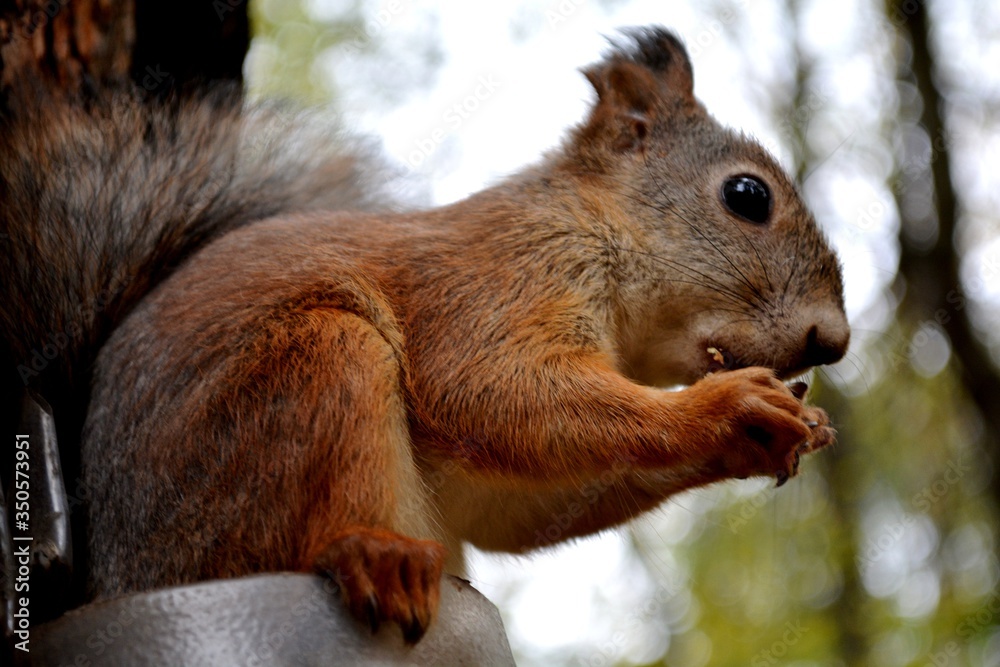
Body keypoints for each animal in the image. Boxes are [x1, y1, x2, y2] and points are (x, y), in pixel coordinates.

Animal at [0, 28, 848, 644]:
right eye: (747, 195)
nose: (832, 340)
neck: (594, 228)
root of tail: (119, 569)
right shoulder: (497, 283)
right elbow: (488, 390)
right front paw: (726, 408)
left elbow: (515, 505)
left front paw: (778, 432)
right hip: (303, 378)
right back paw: (374, 551)